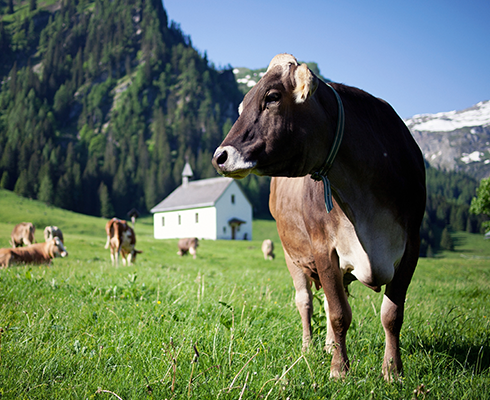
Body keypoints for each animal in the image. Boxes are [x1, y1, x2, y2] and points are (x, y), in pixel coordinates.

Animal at [212, 54, 426, 382]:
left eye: (271, 98)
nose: (219, 156)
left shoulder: (411, 244)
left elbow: (391, 315)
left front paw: (392, 370)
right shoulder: (323, 247)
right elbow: (339, 314)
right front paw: (340, 369)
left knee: (327, 300)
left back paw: (327, 346)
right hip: (293, 255)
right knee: (306, 302)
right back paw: (309, 347)